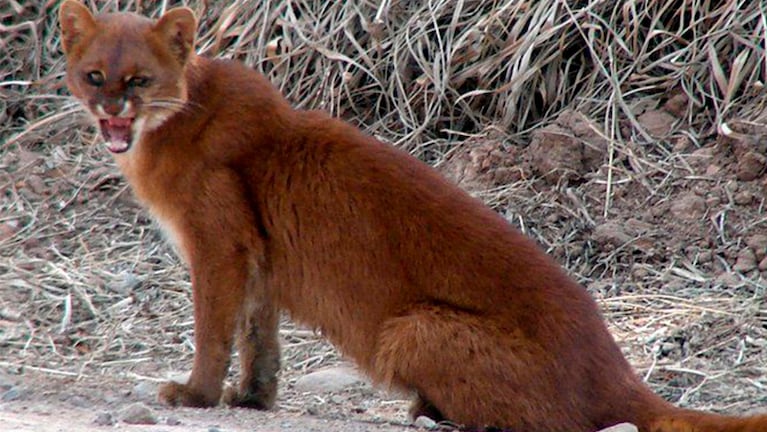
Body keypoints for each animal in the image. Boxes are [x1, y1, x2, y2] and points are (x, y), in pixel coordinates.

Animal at [61, 1, 767, 430]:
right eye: (94, 75)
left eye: (139, 79)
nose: (113, 112)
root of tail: (614, 364)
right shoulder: (257, 254)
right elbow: (261, 336)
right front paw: (252, 399)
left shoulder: (219, 242)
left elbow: (214, 329)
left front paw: (196, 395)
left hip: (410, 328)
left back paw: (432, 413)